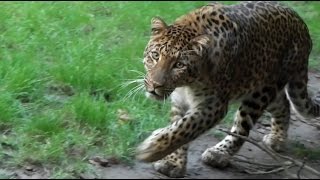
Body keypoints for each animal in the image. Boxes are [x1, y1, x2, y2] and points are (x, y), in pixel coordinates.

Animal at [135, 1, 320, 179]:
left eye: (179, 65)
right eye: (155, 56)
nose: (155, 85)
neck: (187, 84)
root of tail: (301, 24)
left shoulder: (214, 104)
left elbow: (185, 128)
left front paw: (151, 149)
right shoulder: (179, 102)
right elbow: (177, 127)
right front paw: (172, 163)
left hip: (260, 93)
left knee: (242, 128)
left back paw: (219, 154)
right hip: (262, 86)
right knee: (283, 104)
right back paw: (277, 138)